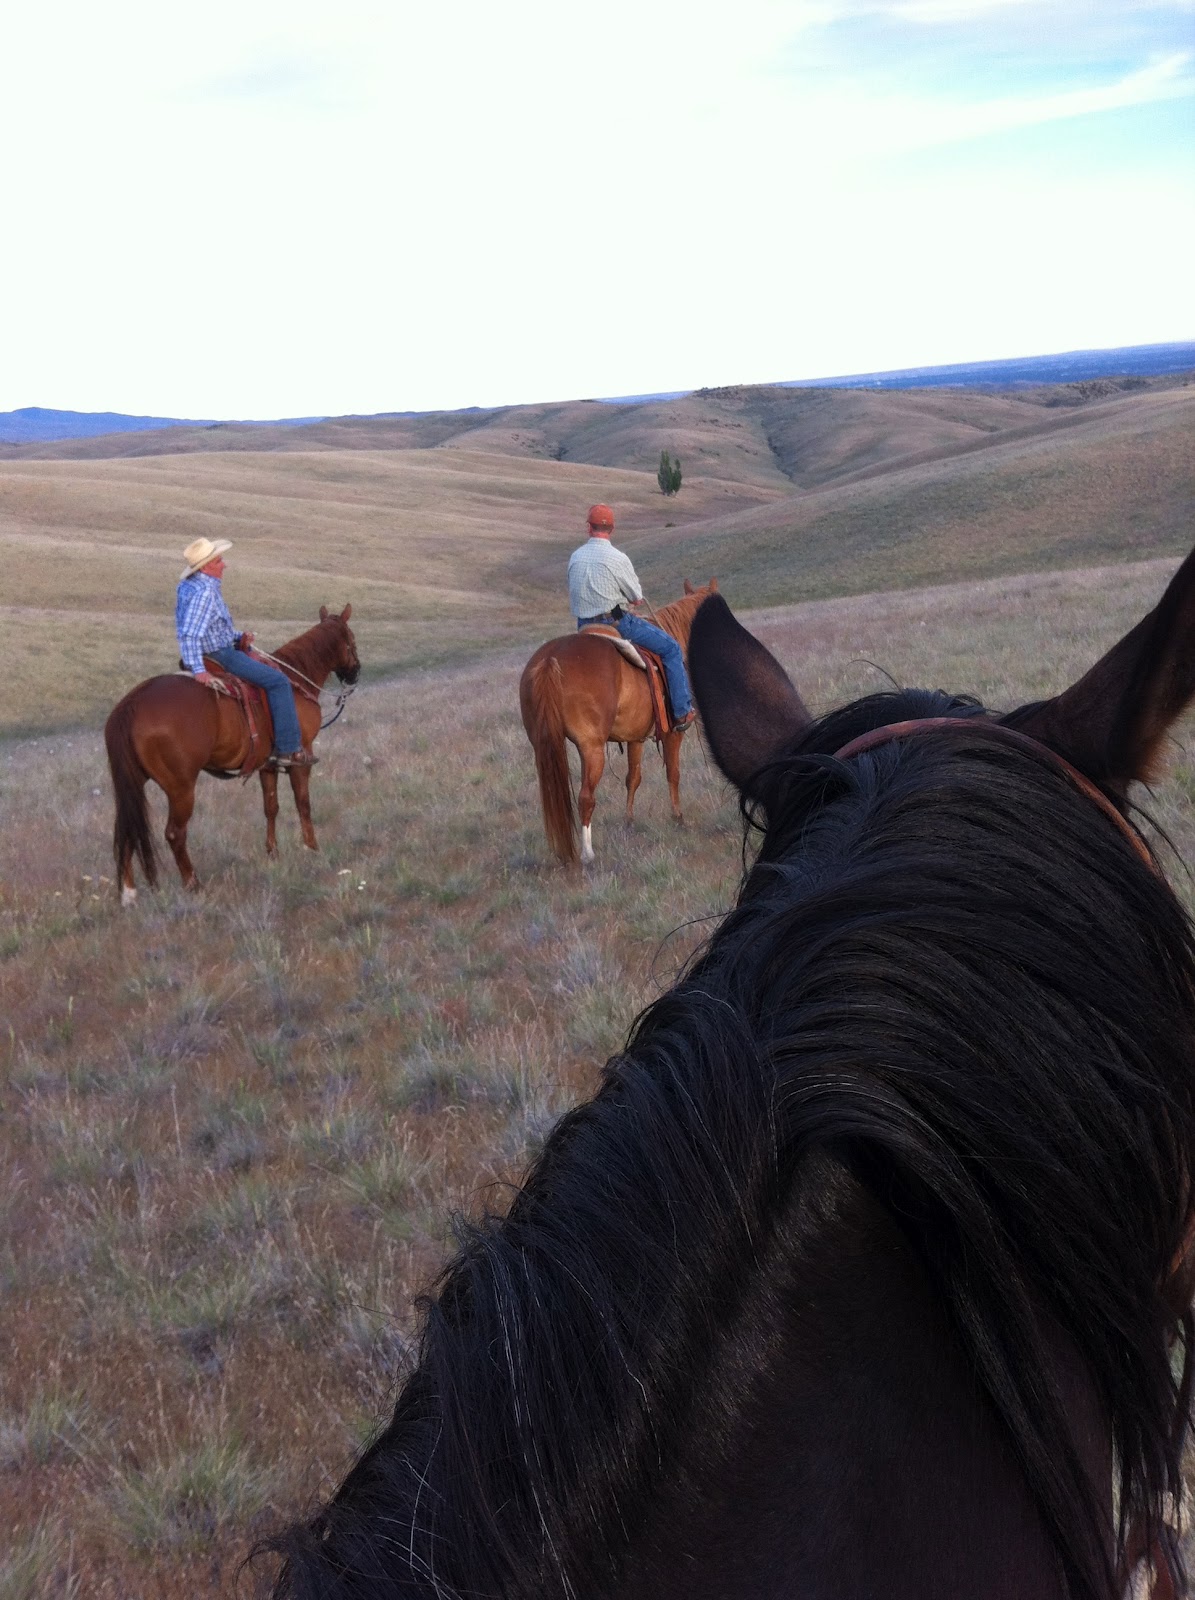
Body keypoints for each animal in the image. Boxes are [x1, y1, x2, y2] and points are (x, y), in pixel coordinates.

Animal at [104, 605, 359, 904]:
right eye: (352, 640)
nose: (356, 673)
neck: (295, 677)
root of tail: (131, 703)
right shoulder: (301, 758)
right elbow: (303, 803)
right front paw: (312, 848)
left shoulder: (267, 765)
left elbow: (271, 807)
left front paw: (273, 853)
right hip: (181, 788)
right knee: (174, 834)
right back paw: (193, 884)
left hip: (132, 783)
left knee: (127, 830)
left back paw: (129, 894)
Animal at [519, 582, 716, 866]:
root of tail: (550, 659)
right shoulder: (672, 734)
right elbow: (673, 773)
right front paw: (678, 818)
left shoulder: (635, 737)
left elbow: (633, 778)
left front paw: (629, 821)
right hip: (592, 748)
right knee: (586, 797)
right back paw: (587, 853)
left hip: (542, 745)